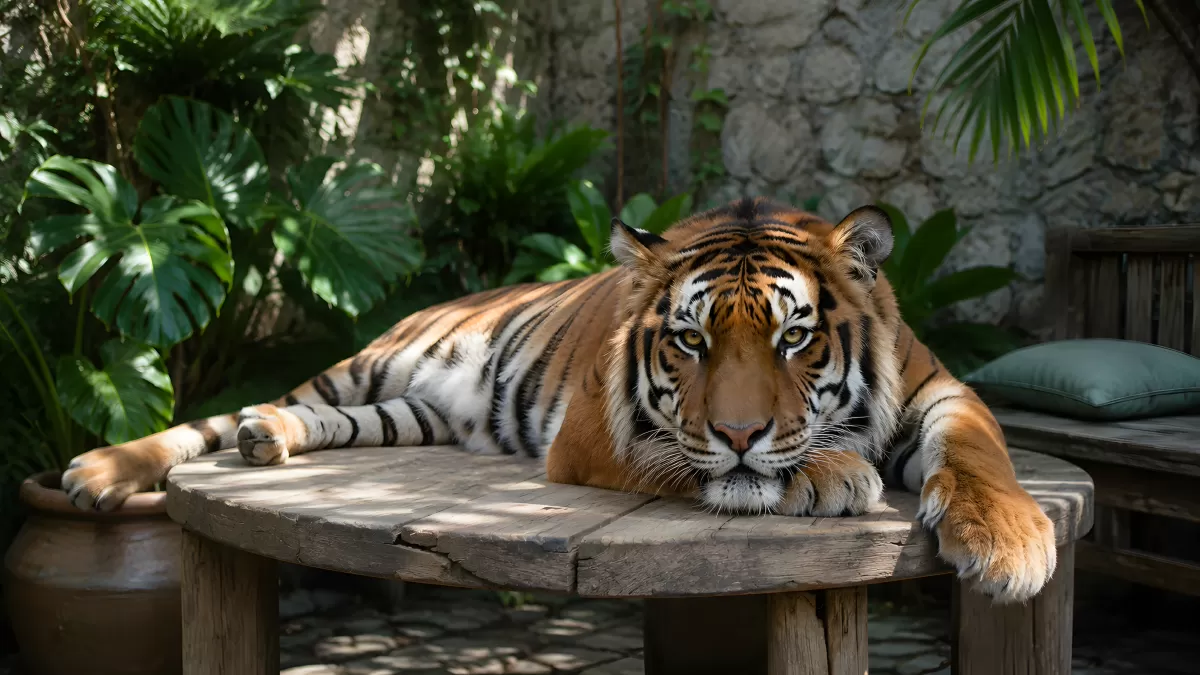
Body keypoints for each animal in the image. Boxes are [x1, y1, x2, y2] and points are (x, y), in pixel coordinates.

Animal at [61, 197, 1056, 603]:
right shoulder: (594, 434)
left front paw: (1011, 546)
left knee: (316, 421)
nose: (739, 430)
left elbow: (980, 448)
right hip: (365, 364)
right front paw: (832, 471)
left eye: (793, 338)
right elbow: (697, 459)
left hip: (406, 410)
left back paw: (268, 440)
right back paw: (104, 469)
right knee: (215, 419)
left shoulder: (940, 389)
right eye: (690, 340)